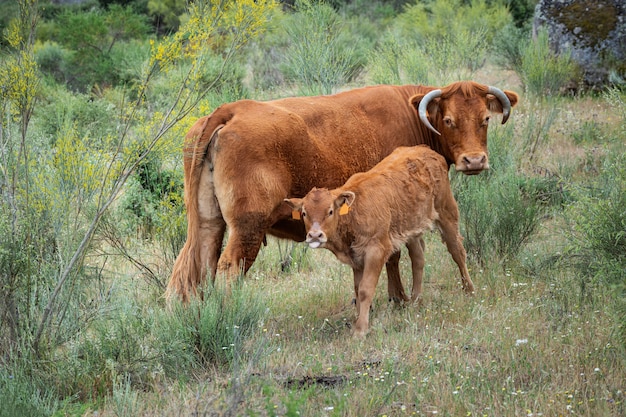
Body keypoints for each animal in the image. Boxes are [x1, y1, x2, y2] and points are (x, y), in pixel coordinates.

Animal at [165, 82, 516, 302]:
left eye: (485, 118)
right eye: (449, 119)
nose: (474, 160)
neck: (411, 116)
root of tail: (232, 110)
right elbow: (396, 255)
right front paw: (398, 298)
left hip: (209, 224)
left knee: (194, 270)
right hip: (247, 228)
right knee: (228, 269)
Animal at [284, 145, 472, 336]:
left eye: (330, 211)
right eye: (304, 213)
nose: (315, 235)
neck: (354, 212)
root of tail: (425, 149)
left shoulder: (376, 250)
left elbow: (365, 289)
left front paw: (360, 330)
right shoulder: (356, 259)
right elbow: (357, 289)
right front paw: (359, 321)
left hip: (447, 211)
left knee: (457, 251)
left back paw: (469, 290)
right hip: (412, 227)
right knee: (418, 258)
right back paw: (415, 299)